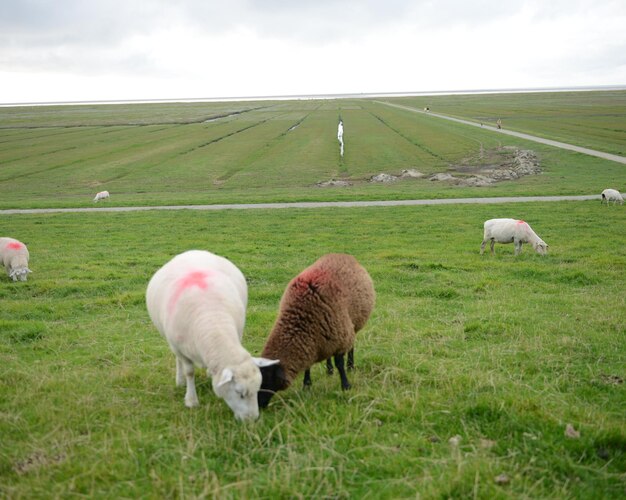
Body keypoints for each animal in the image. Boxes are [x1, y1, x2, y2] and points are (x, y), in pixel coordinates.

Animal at [146, 249, 278, 418]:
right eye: (239, 393)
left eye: (258, 388)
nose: (253, 419)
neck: (212, 319)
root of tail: (193, 251)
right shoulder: (180, 348)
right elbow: (189, 372)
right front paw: (191, 400)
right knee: (178, 360)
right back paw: (180, 380)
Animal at [256, 252, 372, 408]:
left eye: (266, 382)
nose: (258, 406)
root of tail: (342, 254)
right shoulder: (314, 339)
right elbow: (308, 365)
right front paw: (306, 384)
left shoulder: (341, 335)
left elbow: (340, 364)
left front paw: (346, 386)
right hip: (331, 332)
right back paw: (329, 370)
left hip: (352, 325)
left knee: (351, 346)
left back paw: (350, 366)